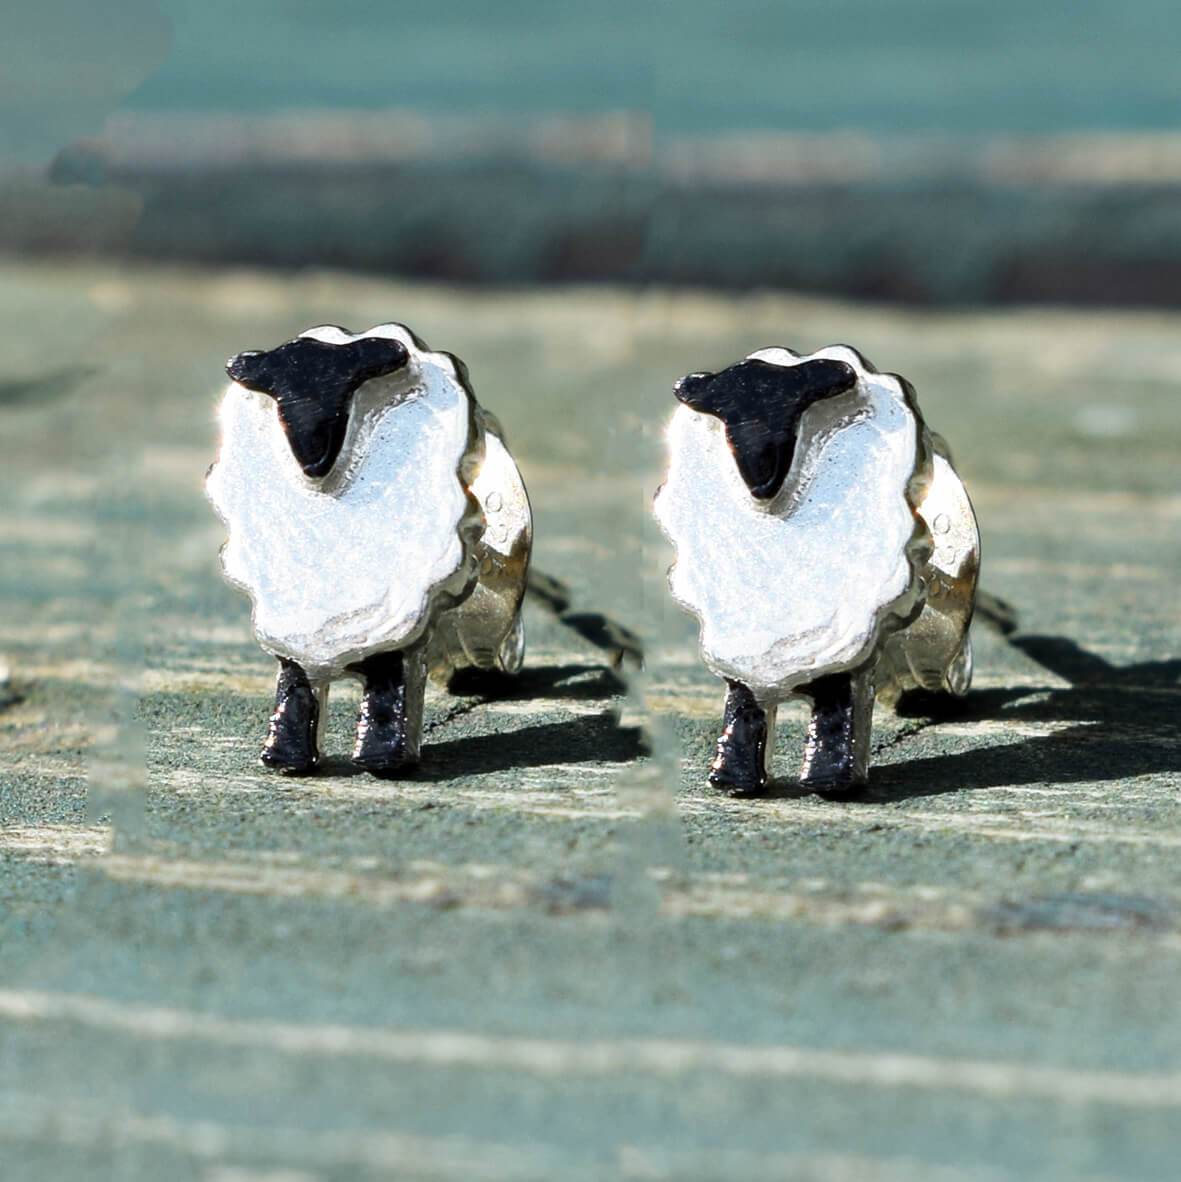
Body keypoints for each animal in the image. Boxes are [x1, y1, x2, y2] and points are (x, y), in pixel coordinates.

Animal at [206, 323, 531, 777]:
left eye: (348, 388)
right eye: (277, 394)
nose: (313, 461)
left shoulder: (397, 640)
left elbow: (387, 699)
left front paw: (384, 760)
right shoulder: (294, 642)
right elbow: (295, 692)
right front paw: (285, 759)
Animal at [653, 344, 978, 797]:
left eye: (797, 406)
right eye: (725, 414)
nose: (761, 481)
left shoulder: (847, 659)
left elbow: (836, 718)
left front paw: (832, 780)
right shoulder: (741, 662)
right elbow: (743, 713)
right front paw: (732, 780)